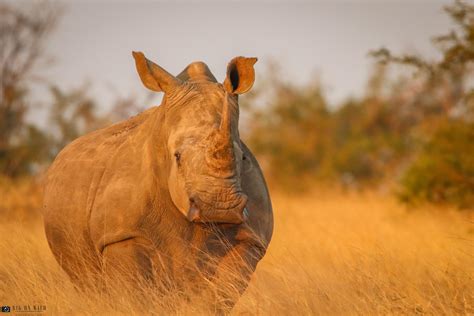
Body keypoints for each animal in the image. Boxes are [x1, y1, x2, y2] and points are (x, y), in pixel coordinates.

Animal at [44, 51, 276, 312]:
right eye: (177, 157)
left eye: (243, 157)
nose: (220, 208)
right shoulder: (121, 234)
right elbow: (133, 295)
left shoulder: (250, 239)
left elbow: (221, 294)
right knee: (87, 283)